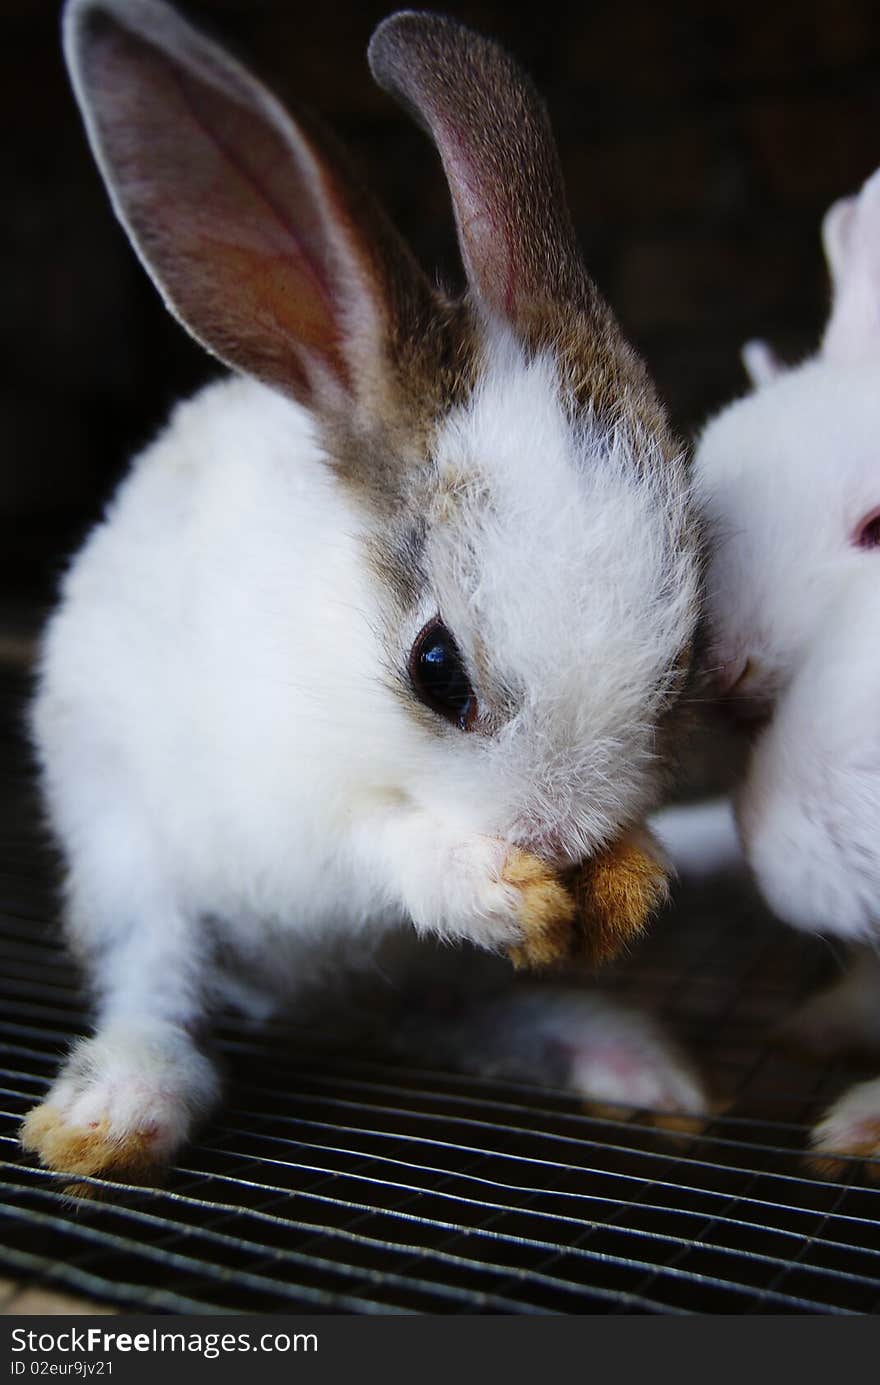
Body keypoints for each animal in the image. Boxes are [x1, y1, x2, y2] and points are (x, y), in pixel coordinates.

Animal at [22, 0, 709, 1180]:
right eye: (436, 672)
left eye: (683, 661)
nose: (557, 833)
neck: (331, 644)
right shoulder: (290, 819)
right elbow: (379, 849)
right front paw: (489, 879)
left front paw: (628, 883)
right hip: (127, 861)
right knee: (155, 987)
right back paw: (117, 1111)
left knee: (453, 1014)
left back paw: (628, 1061)